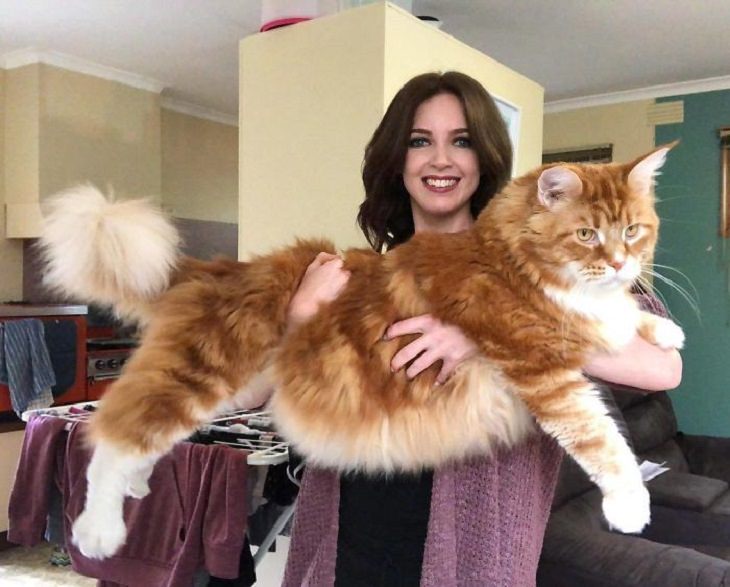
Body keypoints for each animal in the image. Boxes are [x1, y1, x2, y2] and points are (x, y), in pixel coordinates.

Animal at [39, 142, 680, 560]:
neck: (512, 259)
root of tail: (222, 267)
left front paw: (661, 331)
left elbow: (624, 321)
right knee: (111, 439)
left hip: (216, 388)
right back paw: (98, 531)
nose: (621, 263)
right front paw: (630, 506)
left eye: (633, 231)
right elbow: (602, 441)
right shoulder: (543, 371)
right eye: (587, 234)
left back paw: (136, 488)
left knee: (142, 438)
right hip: (200, 373)